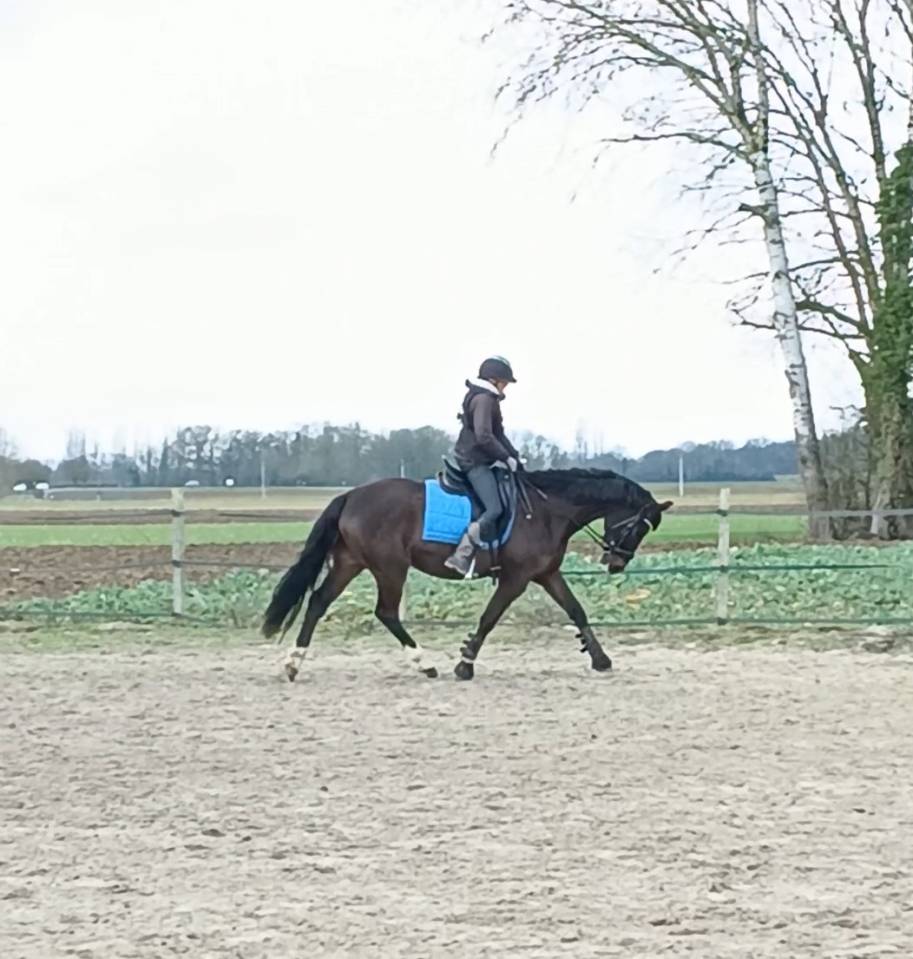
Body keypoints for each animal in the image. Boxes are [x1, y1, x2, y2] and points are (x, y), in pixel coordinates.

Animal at [261, 468, 672, 681]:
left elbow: (576, 611)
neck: (546, 509)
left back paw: (294, 664)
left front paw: (600, 659)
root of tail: (352, 495)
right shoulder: (516, 579)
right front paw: (464, 663)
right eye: (638, 527)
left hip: (352, 563)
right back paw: (425, 664)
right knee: (386, 612)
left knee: (318, 602)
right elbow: (489, 618)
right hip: (389, 567)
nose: (616, 563)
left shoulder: (547, 574)